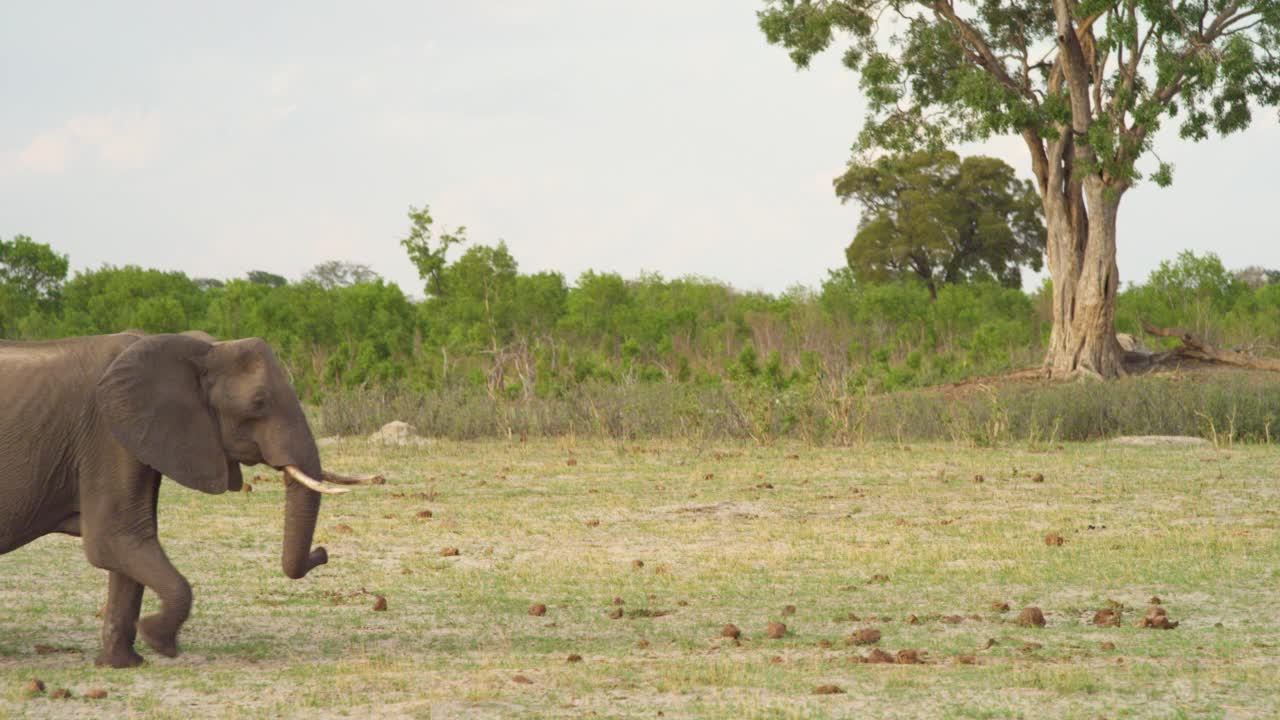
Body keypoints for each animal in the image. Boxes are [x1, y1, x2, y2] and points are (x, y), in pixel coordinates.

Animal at [0, 330, 371, 666]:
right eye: (258, 403)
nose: (323, 553)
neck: (199, 349)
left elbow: (131, 546)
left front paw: (124, 663)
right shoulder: (107, 435)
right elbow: (115, 539)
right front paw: (159, 640)